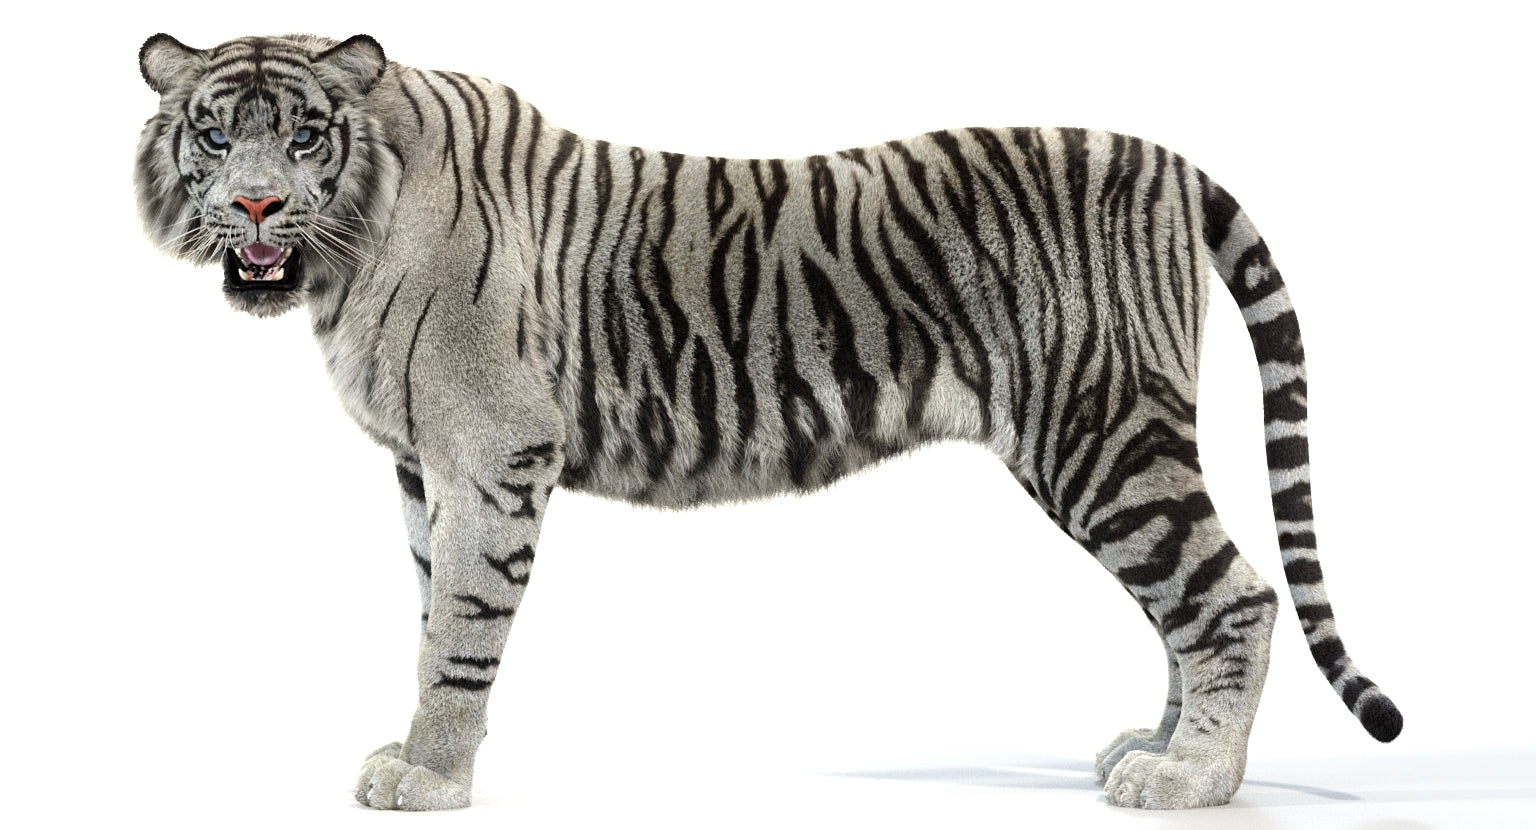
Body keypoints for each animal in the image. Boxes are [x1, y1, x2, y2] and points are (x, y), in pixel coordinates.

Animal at [135, 32, 1402, 811]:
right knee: (1182, 601)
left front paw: (432, 777)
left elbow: (460, 628)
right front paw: (415, 751)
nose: (256, 202)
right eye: (216, 134)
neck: (343, 255)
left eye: (303, 135)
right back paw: (1157, 744)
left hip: (1100, 429)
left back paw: (1193, 779)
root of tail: (1166, 157)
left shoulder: (491, 456)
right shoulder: (424, 471)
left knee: (1230, 593)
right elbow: (427, 612)